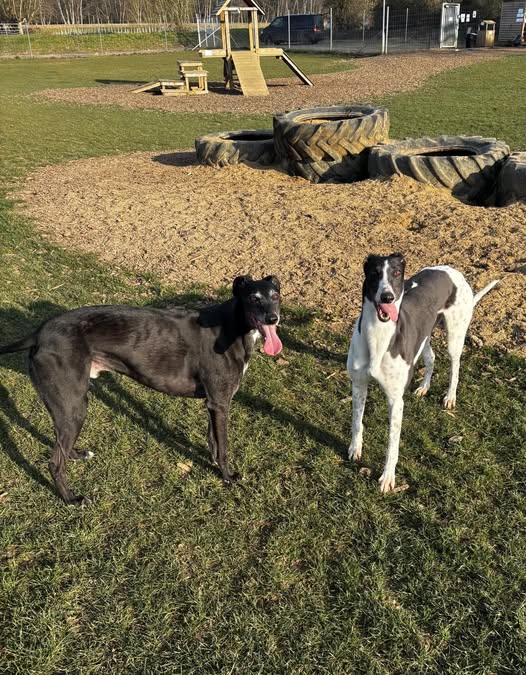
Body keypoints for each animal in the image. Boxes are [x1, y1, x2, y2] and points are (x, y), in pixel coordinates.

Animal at [0, 275, 282, 505]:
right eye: (253, 298)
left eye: (276, 296)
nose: (273, 318)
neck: (231, 325)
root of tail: (40, 333)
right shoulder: (220, 403)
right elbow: (223, 447)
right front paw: (228, 476)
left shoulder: (214, 403)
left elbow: (213, 440)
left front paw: (214, 464)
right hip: (73, 405)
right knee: (54, 462)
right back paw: (71, 499)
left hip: (69, 406)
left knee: (62, 446)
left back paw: (77, 455)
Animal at [347, 253, 498, 493]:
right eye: (374, 273)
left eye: (396, 273)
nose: (387, 297)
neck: (378, 337)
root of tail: (453, 270)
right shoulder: (359, 386)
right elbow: (356, 422)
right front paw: (355, 449)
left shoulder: (395, 401)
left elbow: (392, 444)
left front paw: (387, 478)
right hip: (425, 333)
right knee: (431, 357)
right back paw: (424, 386)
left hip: (454, 336)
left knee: (455, 366)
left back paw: (450, 396)